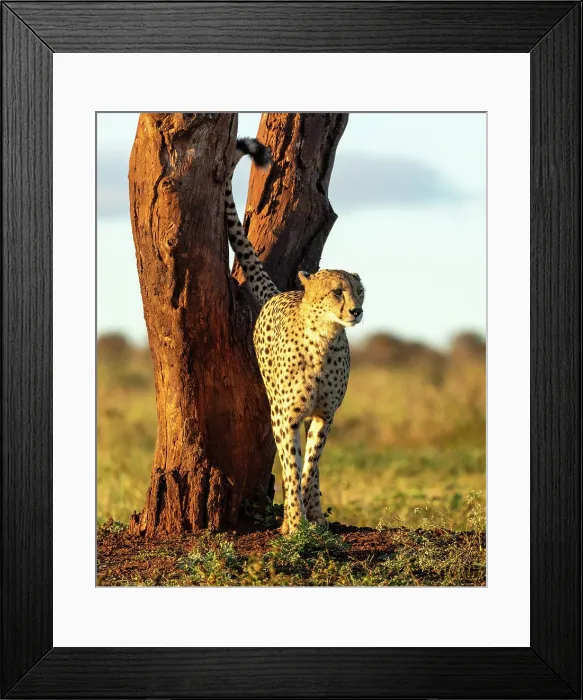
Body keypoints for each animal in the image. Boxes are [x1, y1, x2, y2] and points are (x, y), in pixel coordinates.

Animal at [226, 137, 365, 534]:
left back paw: (316, 511)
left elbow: (311, 464)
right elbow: (290, 465)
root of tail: (282, 293)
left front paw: (311, 516)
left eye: (359, 291)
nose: (356, 311)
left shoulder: (324, 414)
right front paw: (292, 523)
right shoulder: (284, 416)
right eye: (336, 292)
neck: (324, 340)